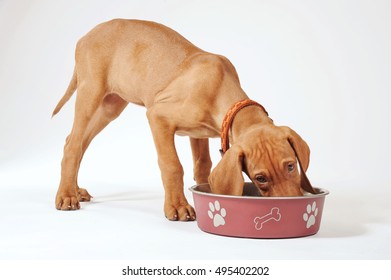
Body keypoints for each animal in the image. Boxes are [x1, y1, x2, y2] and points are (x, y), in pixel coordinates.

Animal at [52, 19, 316, 221]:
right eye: (260, 178)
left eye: (291, 166)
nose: (291, 209)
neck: (221, 88)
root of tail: (85, 36)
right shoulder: (158, 116)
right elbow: (172, 165)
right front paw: (178, 206)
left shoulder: (198, 134)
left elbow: (202, 166)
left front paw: (208, 196)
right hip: (90, 93)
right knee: (73, 145)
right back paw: (66, 195)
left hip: (111, 105)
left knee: (74, 142)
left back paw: (74, 189)